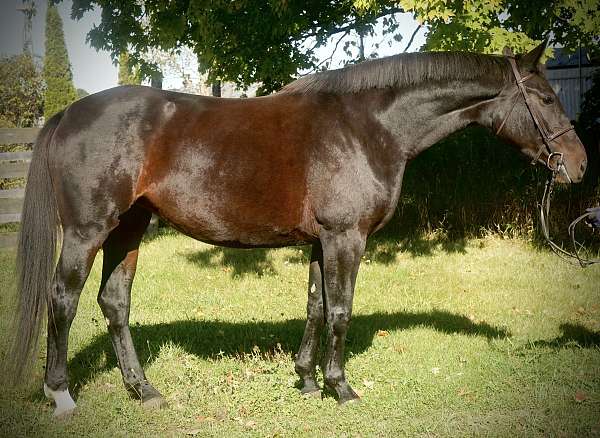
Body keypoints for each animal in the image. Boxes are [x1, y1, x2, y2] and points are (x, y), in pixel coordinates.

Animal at [4, 42, 584, 416]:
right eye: (546, 99)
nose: (577, 166)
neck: (367, 127)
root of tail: (67, 114)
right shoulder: (346, 237)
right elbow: (342, 310)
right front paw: (341, 388)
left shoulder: (321, 241)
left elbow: (316, 307)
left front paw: (306, 381)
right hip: (88, 230)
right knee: (64, 300)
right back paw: (60, 394)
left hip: (130, 227)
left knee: (115, 302)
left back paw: (143, 390)